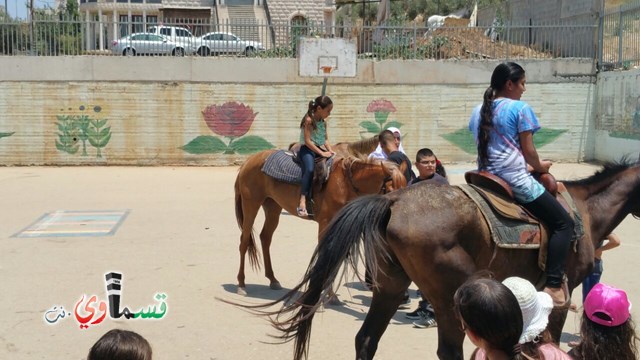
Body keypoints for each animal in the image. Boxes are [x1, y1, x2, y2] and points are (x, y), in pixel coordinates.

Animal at [235, 143, 404, 296]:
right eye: (390, 190)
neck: (345, 184)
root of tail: (248, 162)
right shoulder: (325, 222)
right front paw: (329, 294)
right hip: (251, 205)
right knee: (244, 240)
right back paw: (241, 284)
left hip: (273, 207)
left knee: (265, 238)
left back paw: (272, 279)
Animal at [262, 161, 636, 360]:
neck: (585, 211)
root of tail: (393, 202)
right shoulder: (561, 294)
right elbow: (551, 341)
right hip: (451, 296)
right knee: (449, 351)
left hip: (390, 287)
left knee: (366, 339)